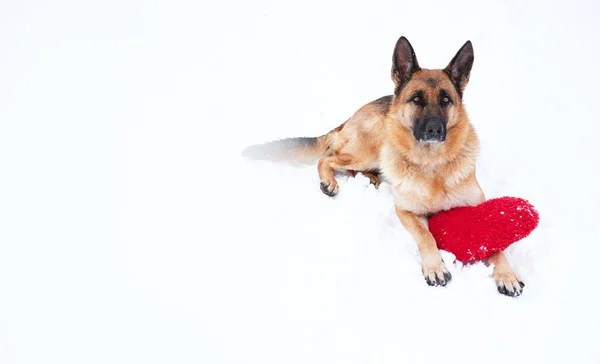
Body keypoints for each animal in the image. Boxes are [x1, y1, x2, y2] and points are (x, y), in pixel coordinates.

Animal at [244, 36, 524, 296]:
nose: (435, 130)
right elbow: (426, 237)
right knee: (329, 158)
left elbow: (497, 246)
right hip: (369, 148)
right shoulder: (406, 211)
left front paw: (507, 274)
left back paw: (370, 178)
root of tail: (351, 117)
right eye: (417, 99)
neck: (433, 166)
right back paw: (330, 181)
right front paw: (435, 267)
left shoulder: (477, 208)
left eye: (446, 100)